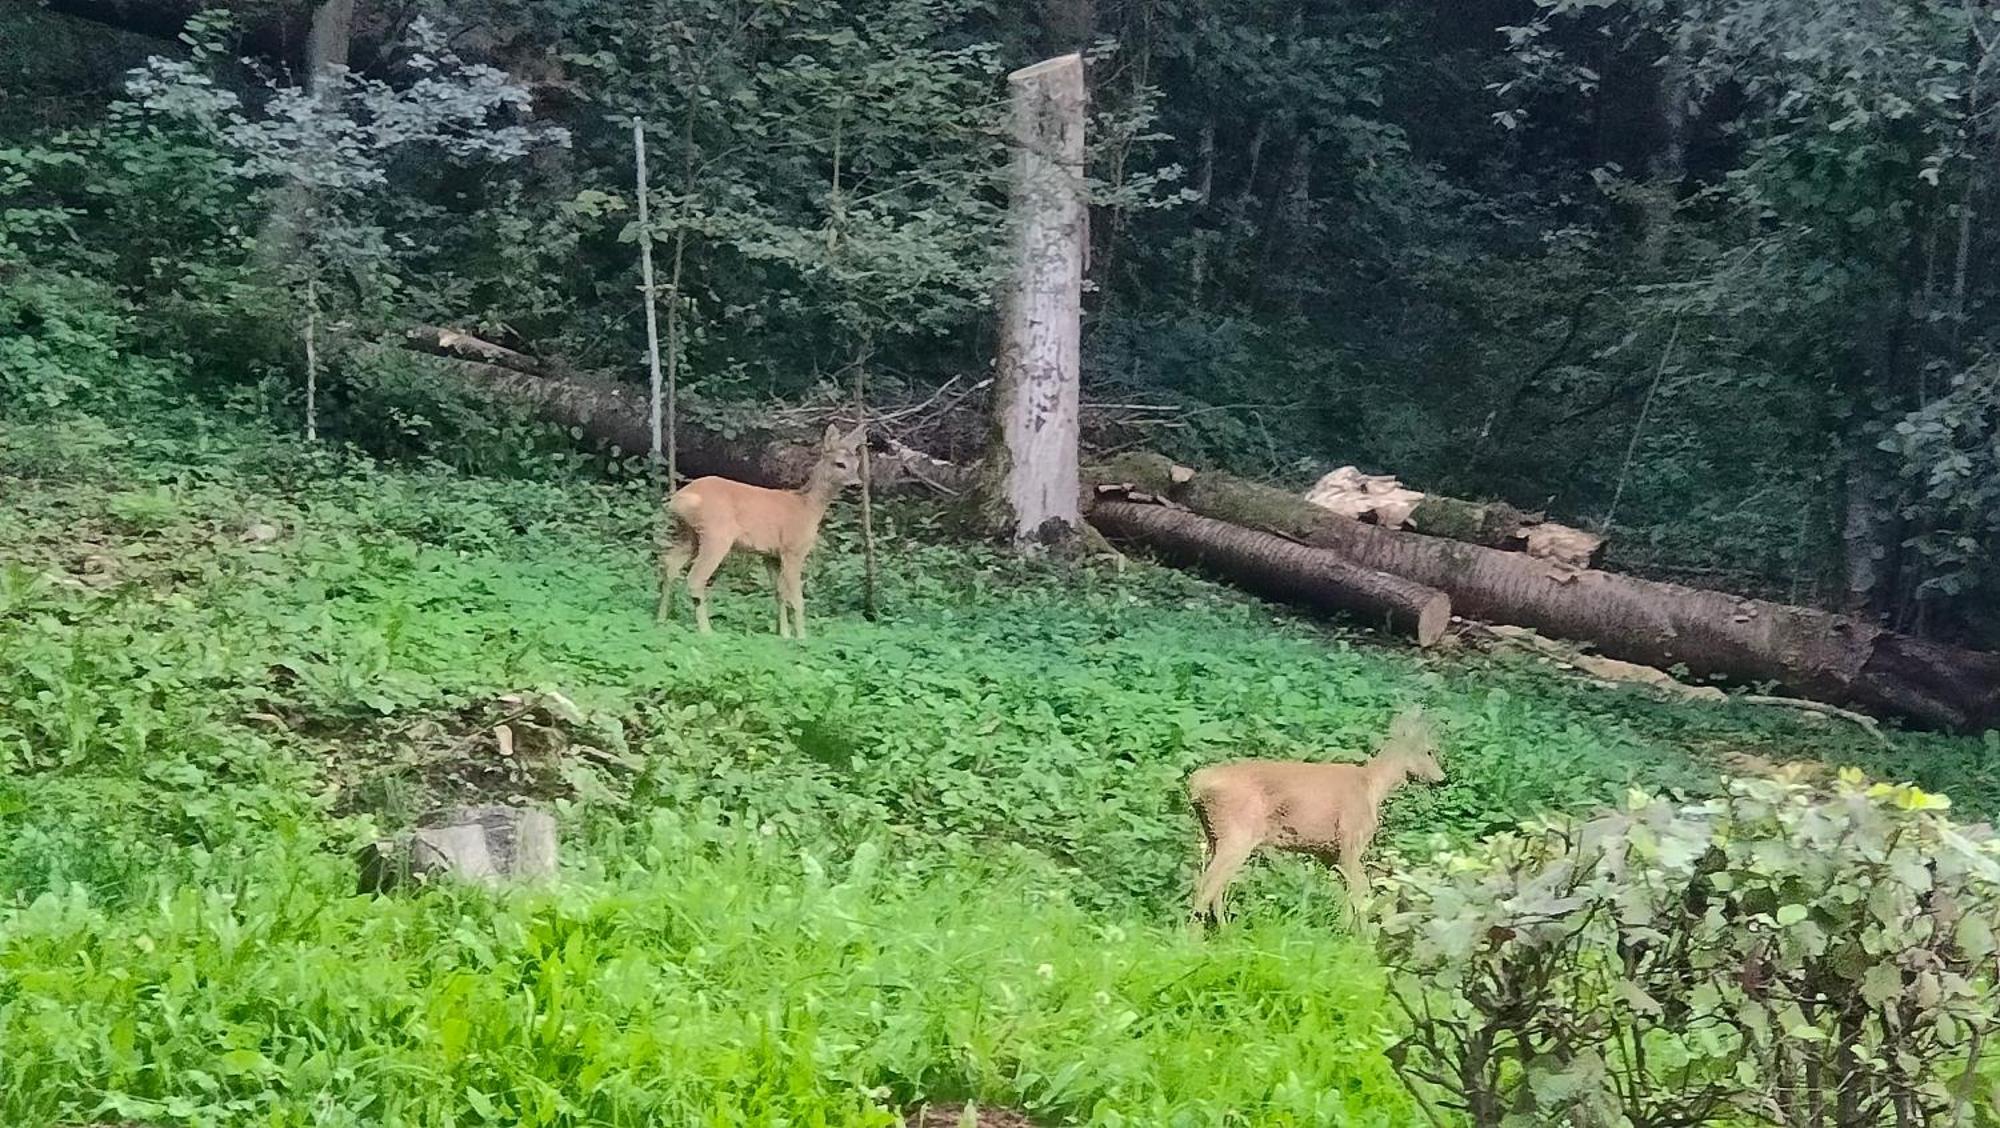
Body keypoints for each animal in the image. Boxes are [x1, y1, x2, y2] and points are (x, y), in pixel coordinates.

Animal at [660, 424, 864, 640]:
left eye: (857, 463)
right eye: (839, 464)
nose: (857, 484)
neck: (808, 507)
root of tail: (679, 498)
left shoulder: (770, 555)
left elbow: (779, 592)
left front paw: (783, 634)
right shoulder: (793, 549)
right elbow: (797, 597)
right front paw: (801, 637)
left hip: (689, 534)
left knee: (670, 564)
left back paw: (661, 619)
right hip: (715, 534)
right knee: (696, 577)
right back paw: (706, 630)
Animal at [1176, 708, 1448, 920]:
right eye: (1429, 751)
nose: (1442, 778)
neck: (1372, 786)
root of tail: (1196, 784)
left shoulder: (1329, 854)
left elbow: (1345, 895)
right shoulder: (1351, 839)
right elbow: (1360, 891)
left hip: (1214, 836)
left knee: (1215, 887)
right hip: (1236, 834)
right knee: (1205, 886)